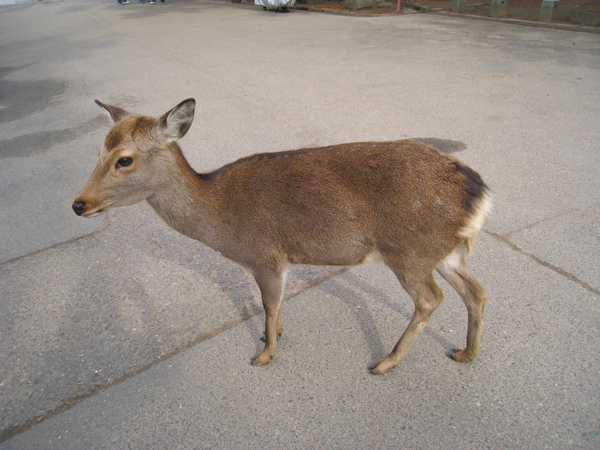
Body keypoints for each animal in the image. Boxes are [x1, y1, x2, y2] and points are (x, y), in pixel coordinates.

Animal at [72, 99, 490, 376]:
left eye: (124, 159)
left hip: (409, 251)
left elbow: (269, 303)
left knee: (431, 298)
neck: (219, 217)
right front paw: (271, 336)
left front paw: (265, 353)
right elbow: (276, 305)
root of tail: (480, 192)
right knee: (477, 290)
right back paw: (465, 353)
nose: (78, 204)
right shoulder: (279, 261)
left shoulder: (265, 256)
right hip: (444, 251)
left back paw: (385, 362)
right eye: (98, 150)